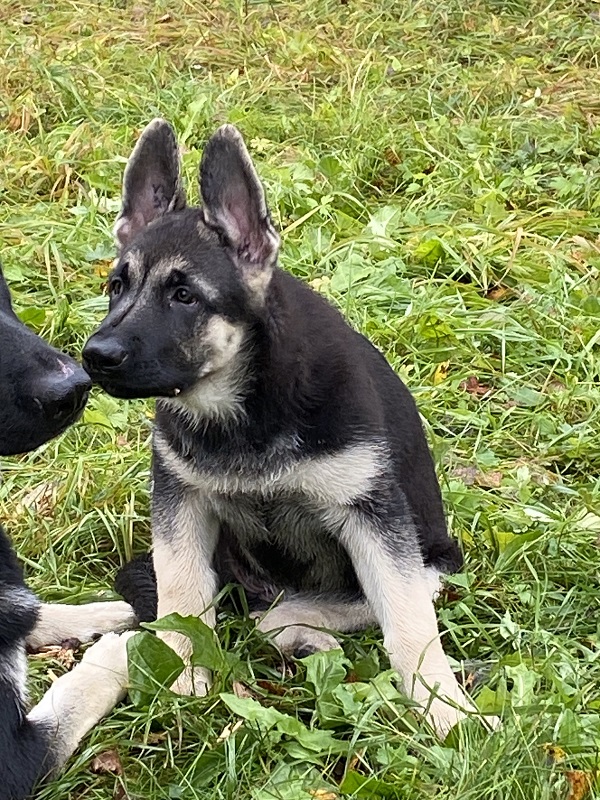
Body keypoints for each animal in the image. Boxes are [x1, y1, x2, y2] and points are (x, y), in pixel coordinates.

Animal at [0, 266, 136, 796]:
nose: (77, 386)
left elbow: (33, 611)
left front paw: (105, 613)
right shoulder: (11, 761)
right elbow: (69, 696)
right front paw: (121, 649)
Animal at [84, 120, 494, 736]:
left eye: (185, 295)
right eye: (117, 286)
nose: (94, 357)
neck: (245, 409)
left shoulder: (376, 518)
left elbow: (407, 620)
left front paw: (445, 711)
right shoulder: (180, 504)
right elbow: (183, 595)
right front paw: (182, 680)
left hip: (430, 559)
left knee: (315, 610)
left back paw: (300, 632)